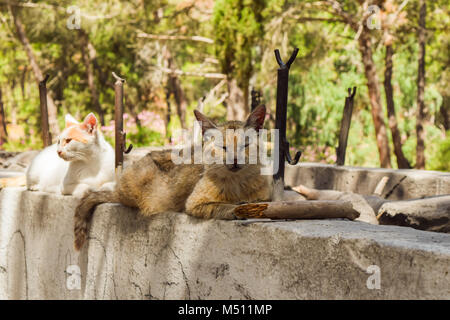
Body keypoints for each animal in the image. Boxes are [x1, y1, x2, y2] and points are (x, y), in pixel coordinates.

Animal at [74, 105, 270, 250]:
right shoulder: (194, 204)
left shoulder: (266, 197)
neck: (238, 182)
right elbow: (221, 206)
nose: (234, 159)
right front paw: (238, 209)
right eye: (223, 147)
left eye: (245, 145)